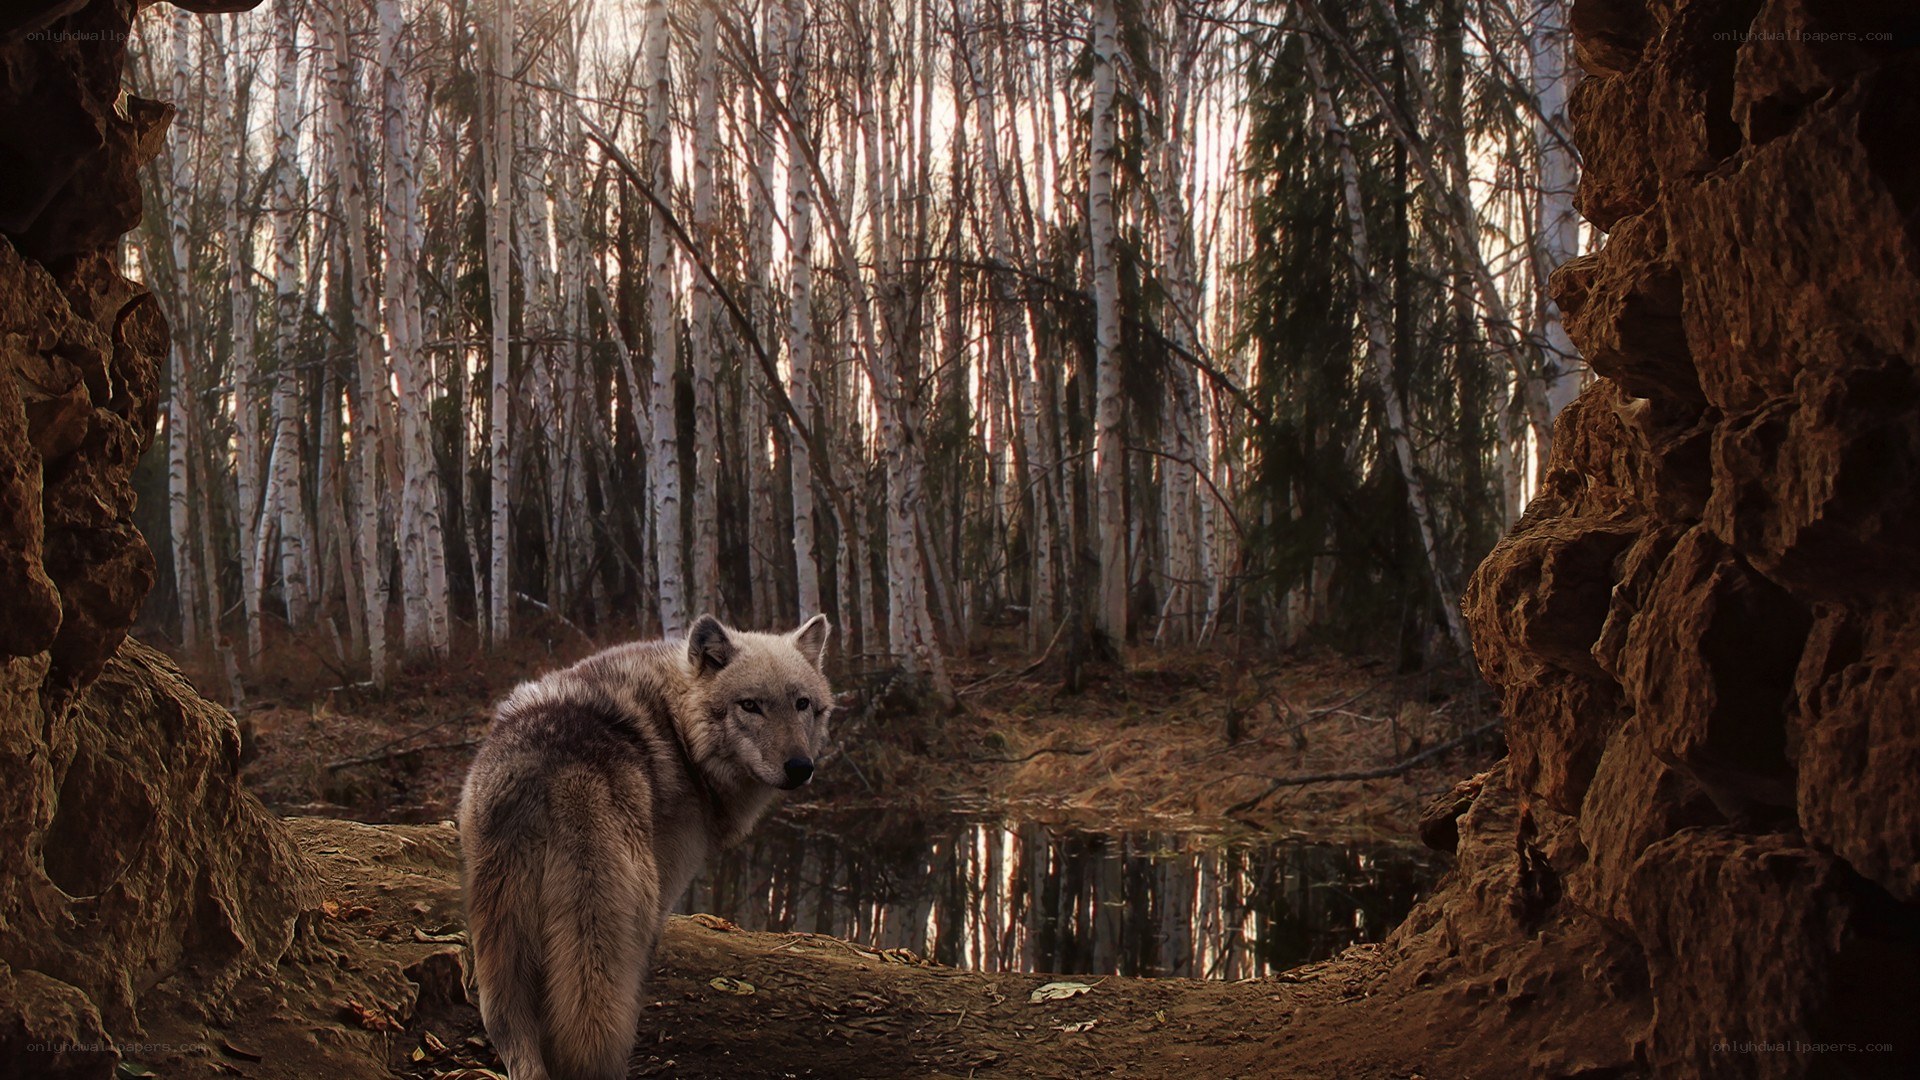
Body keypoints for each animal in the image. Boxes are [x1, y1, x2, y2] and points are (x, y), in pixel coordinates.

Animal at [458, 613, 833, 1080]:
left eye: (802, 703)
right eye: (750, 705)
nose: (800, 767)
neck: (679, 731)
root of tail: (552, 771)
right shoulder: (664, 897)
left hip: (501, 940)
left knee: (511, 1033)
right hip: (620, 919)